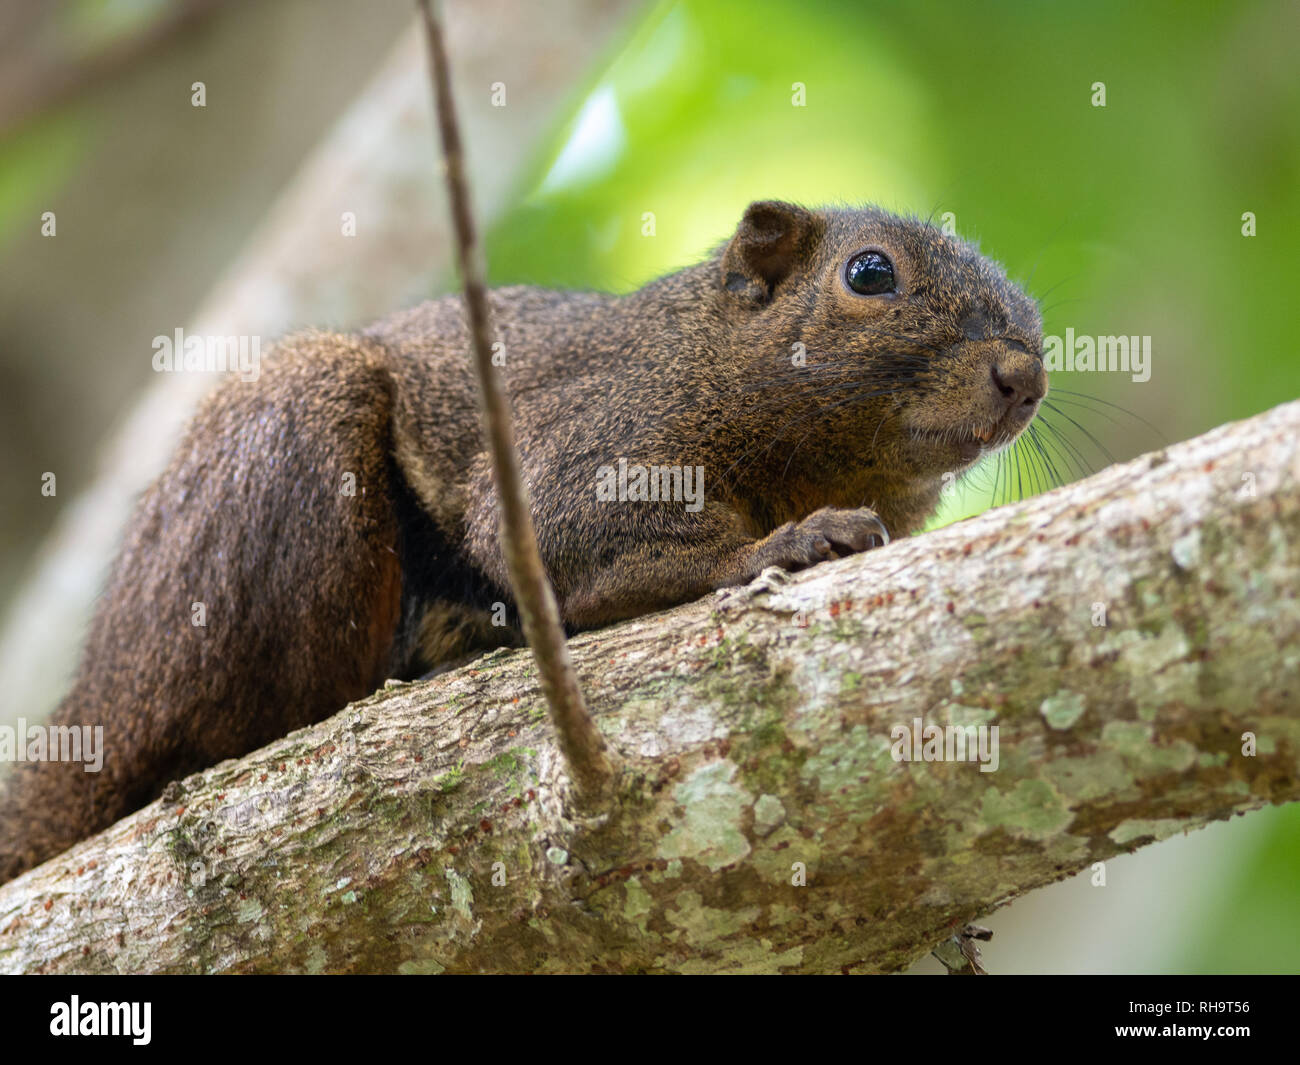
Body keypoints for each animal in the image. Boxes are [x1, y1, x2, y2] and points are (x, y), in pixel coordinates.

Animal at [0, 201, 1045, 884]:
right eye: (870, 274)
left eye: (1034, 315)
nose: (1025, 374)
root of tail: (100, 697)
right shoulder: (592, 436)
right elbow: (568, 532)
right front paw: (778, 546)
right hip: (281, 456)